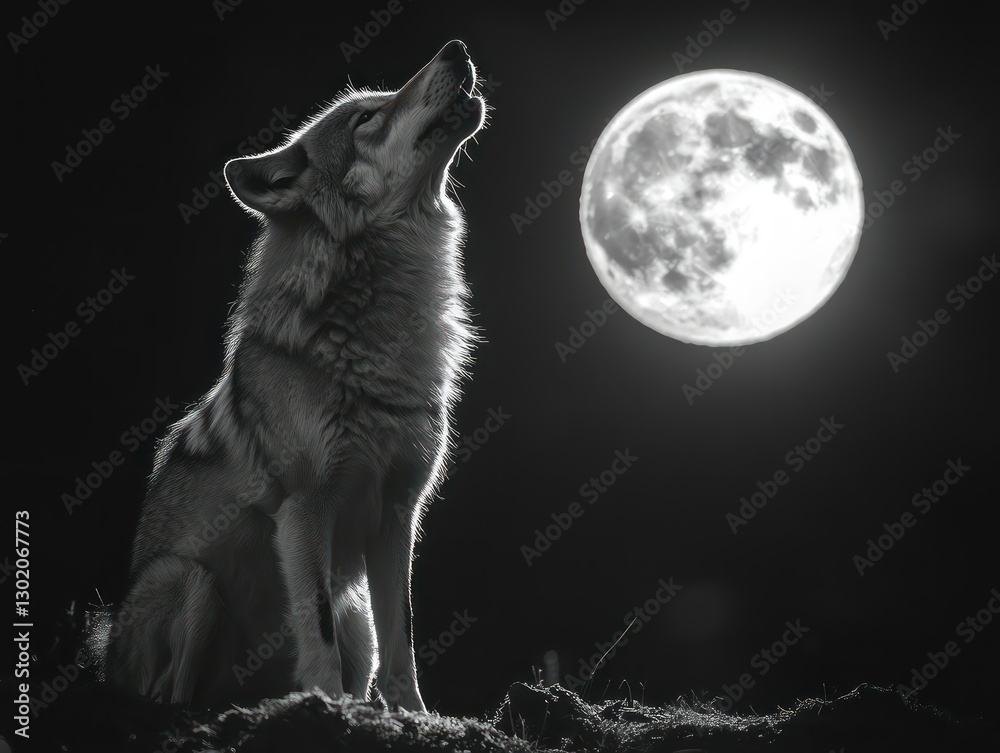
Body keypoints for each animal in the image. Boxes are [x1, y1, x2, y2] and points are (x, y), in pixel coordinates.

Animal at [106, 40, 486, 712]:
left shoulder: (398, 512)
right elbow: (318, 630)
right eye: (366, 118)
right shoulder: (305, 507)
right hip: (192, 581)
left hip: (353, 612)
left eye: (380, 103)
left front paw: (414, 716)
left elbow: (405, 637)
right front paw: (330, 706)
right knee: (172, 697)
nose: (456, 48)